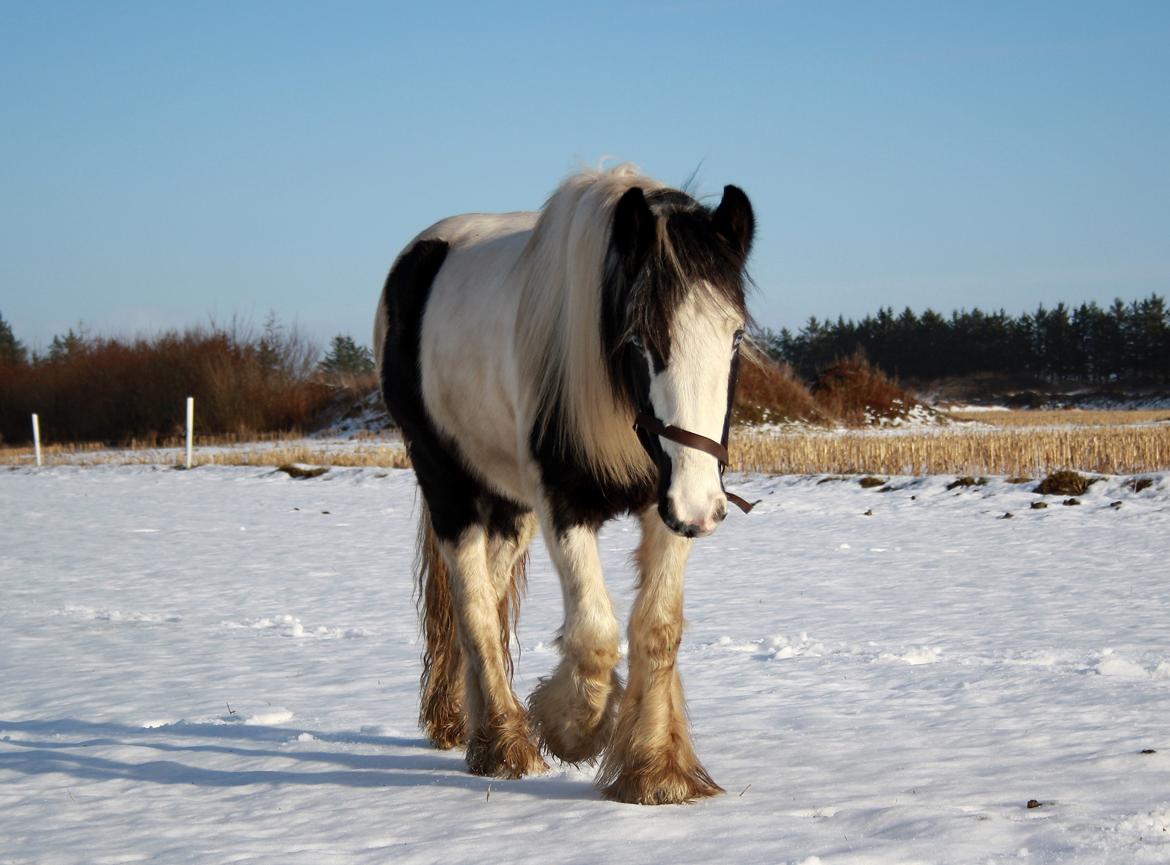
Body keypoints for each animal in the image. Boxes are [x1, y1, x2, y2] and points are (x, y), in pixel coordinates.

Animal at [376, 163, 758, 805]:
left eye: (733, 336)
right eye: (638, 337)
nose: (703, 509)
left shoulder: (665, 501)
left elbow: (657, 627)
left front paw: (657, 772)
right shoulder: (564, 505)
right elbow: (595, 635)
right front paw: (570, 729)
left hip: (510, 505)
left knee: (486, 596)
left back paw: (474, 723)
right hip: (447, 484)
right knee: (474, 605)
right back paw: (503, 745)